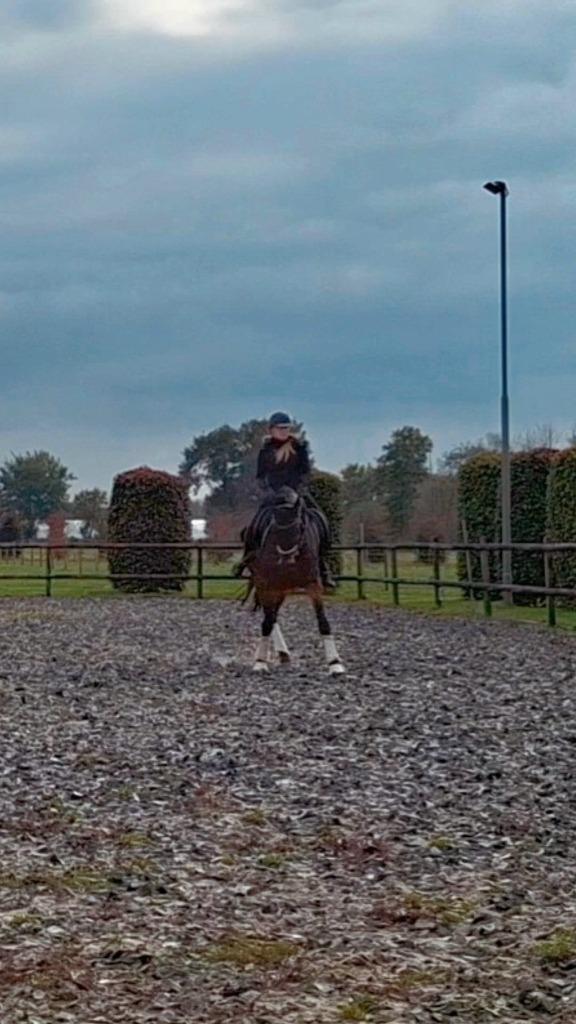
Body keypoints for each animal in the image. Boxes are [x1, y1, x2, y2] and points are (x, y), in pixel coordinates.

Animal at [243, 486, 345, 676]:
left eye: (299, 528)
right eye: (274, 531)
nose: (286, 561)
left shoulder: (313, 584)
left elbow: (323, 621)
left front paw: (335, 663)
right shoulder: (267, 584)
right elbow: (267, 621)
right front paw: (260, 662)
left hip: (282, 589)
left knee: (273, 614)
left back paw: (283, 654)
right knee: (270, 616)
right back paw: (279, 653)